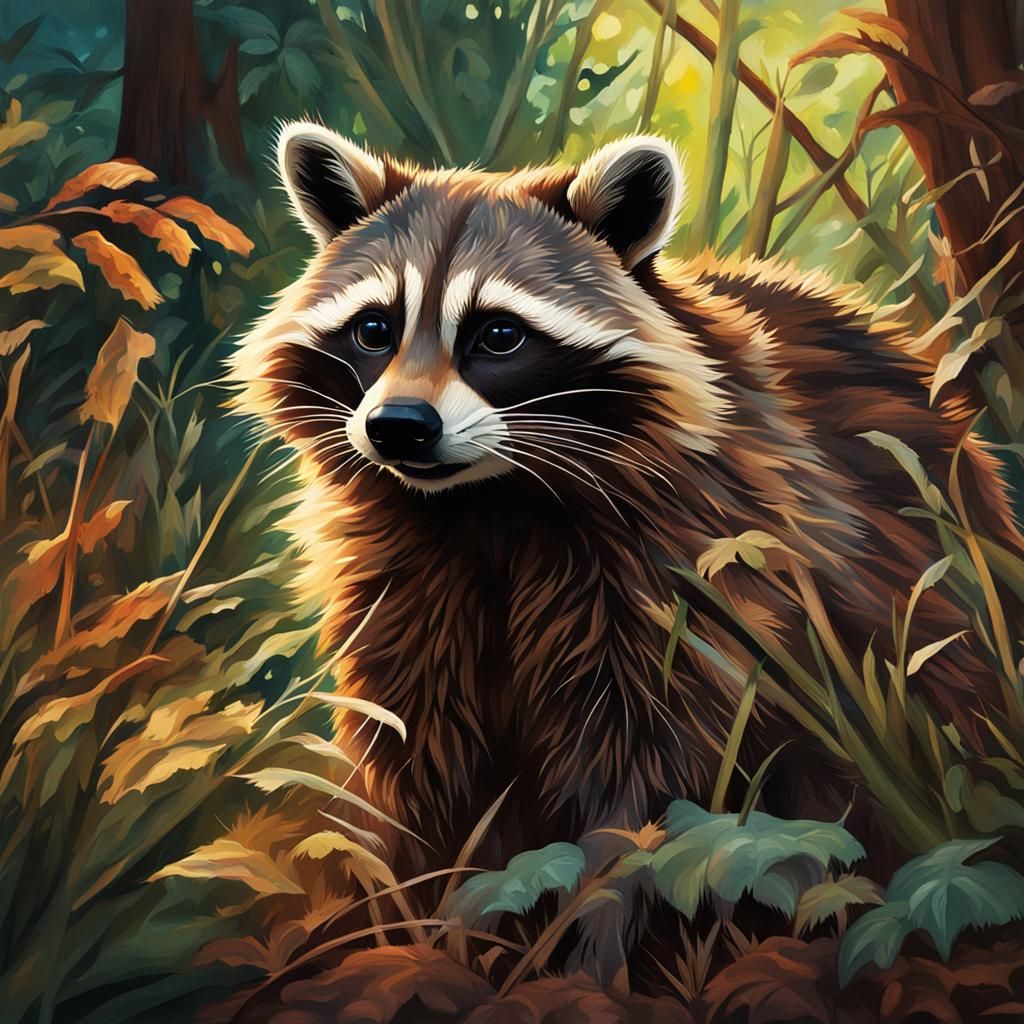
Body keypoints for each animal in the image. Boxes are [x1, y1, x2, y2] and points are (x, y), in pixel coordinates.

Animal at [232, 123, 1017, 874]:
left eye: (499, 334)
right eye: (374, 329)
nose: (397, 426)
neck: (484, 502)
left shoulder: (696, 563)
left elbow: (650, 761)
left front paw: (607, 898)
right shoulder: (403, 577)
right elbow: (415, 743)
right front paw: (420, 882)